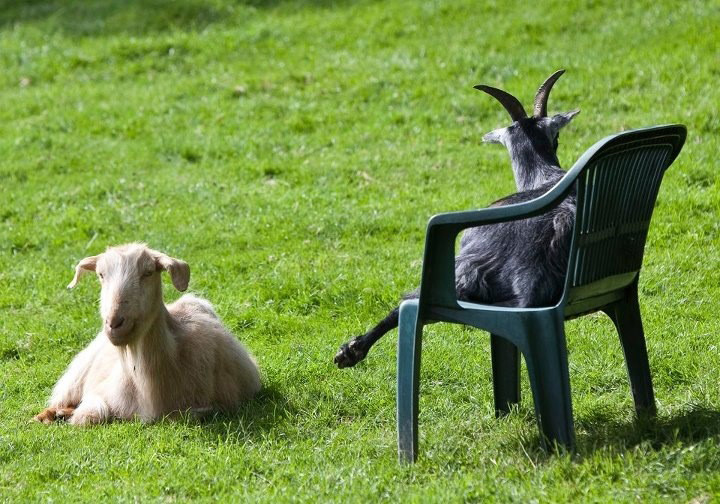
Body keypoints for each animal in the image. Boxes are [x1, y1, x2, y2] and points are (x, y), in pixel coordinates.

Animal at [35, 244, 262, 426]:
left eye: (148, 272)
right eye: (101, 275)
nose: (114, 323)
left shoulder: (216, 402)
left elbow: (188, 415)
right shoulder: (99, 392)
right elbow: (88, 416)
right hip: (77, 374)